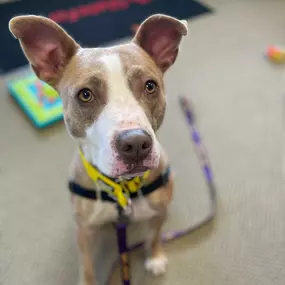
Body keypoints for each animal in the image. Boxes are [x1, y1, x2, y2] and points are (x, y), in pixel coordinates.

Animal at [8, 13, 186, 284]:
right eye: (85, 95)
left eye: (150, 86)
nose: (135, 143)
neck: (122, 189)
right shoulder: (84, 231)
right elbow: (88, 267)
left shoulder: (158, 212)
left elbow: (154, 235)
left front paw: (155, 257)